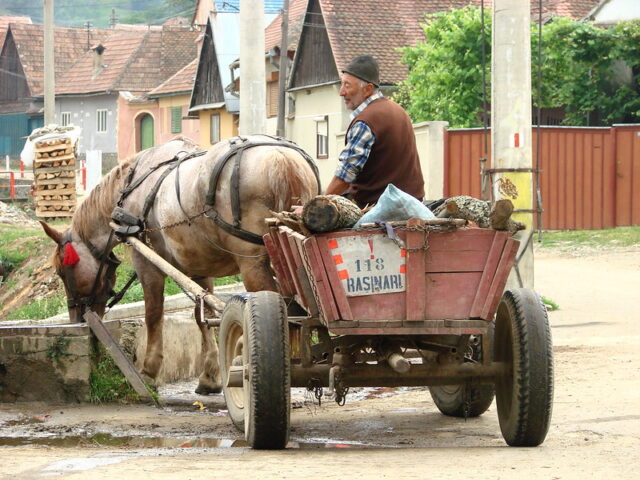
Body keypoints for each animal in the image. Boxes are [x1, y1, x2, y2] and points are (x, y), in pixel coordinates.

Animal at [40, 135, 320, 394]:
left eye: (63, 270)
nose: (77, 319)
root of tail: (282, 160)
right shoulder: (200, 268)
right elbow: (203, 316)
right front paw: (210, 376)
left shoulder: (147, 262)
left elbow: (154, 313)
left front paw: (149, 371)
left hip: (253, 266)